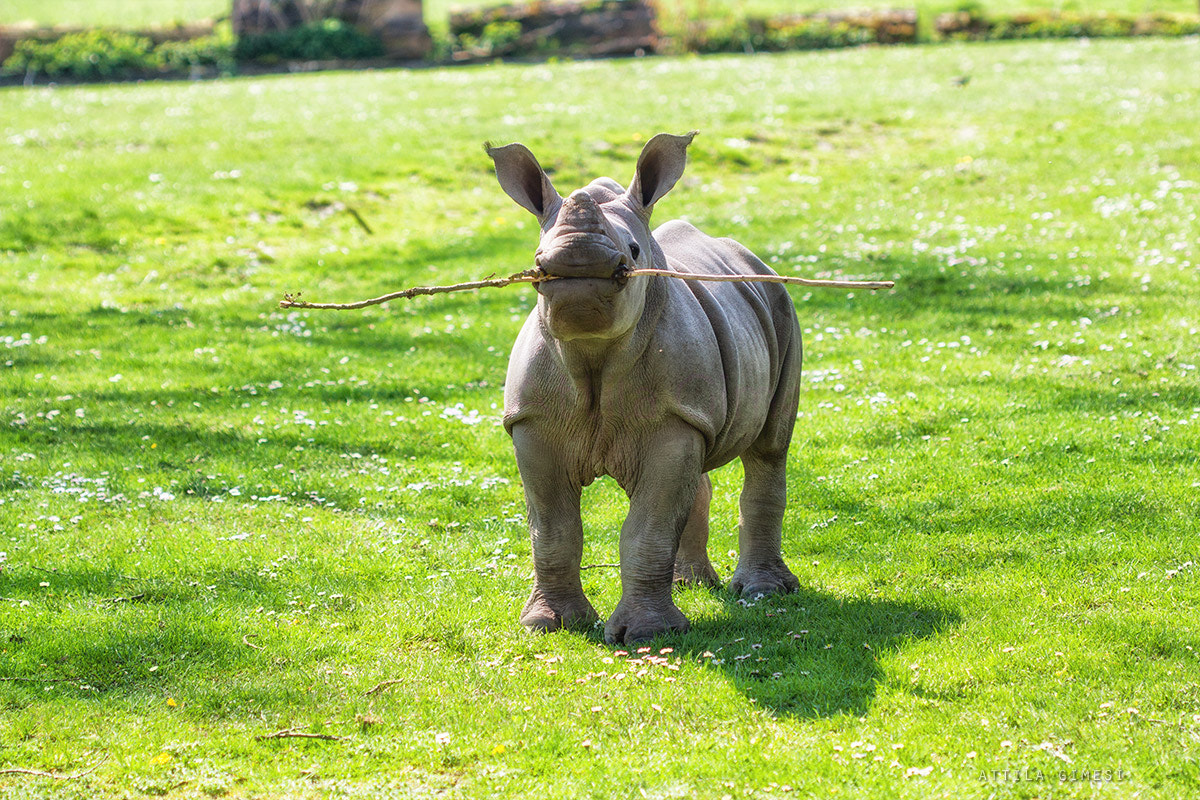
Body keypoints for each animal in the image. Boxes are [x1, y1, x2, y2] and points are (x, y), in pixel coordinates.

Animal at [486, 132, 802, 644]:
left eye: (634, 252)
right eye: (537, 263)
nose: (578, 270)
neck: (590, 351)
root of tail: (748, 257)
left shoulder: (672, 420)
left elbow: (648, 528)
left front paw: (646, 635)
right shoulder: (532, 423)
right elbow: (552, 531)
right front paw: (549, 625)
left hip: (781, 302)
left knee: (770, 449)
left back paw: (763, 592)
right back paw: (692, 584)